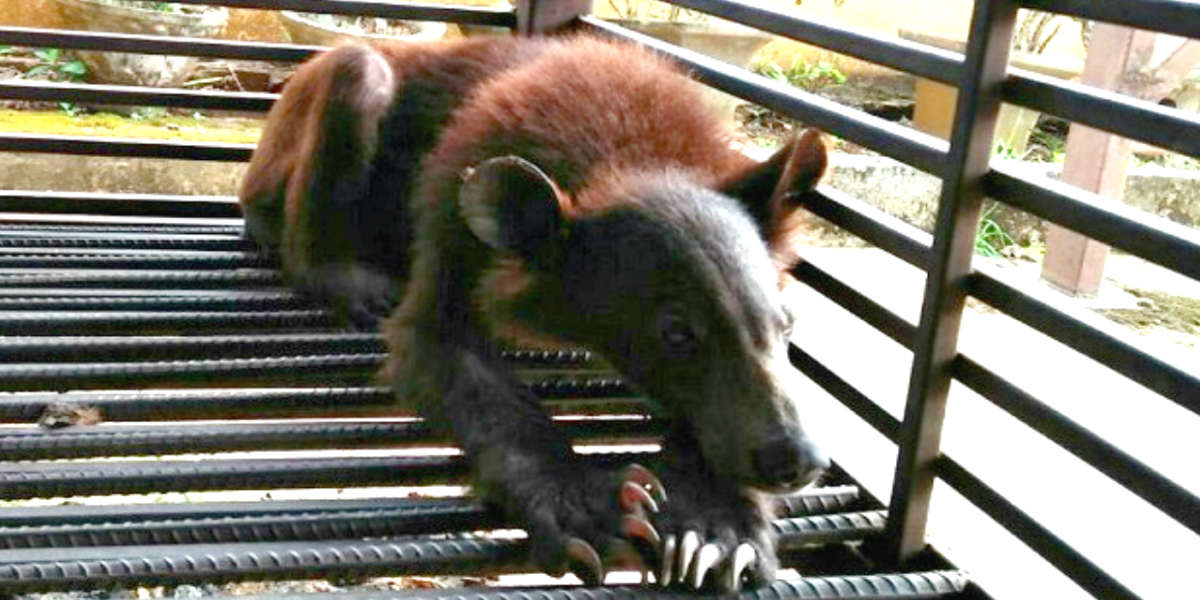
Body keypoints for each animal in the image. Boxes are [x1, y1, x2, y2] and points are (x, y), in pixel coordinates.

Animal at [238, 35, 830, 592]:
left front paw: (716, 530)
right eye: (676, 333)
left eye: (788, 323)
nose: (797, 461)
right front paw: (593, 510)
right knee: (353, 80)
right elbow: (445, 350)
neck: (626, 147)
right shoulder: (455, 213)